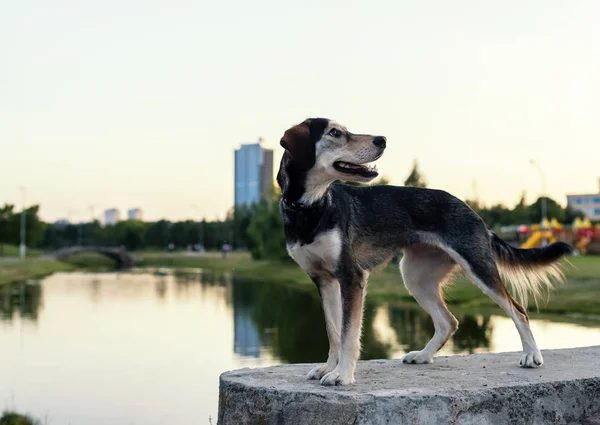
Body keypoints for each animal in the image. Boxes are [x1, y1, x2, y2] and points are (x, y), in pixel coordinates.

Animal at [276, 117, 572, 386]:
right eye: (335, 132)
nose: (382, 140)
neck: (311, 208)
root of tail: (473, 212)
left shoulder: (351, 277)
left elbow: (349, 333)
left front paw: (342, 375)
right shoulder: (324, 280)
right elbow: (334, 331)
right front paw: (329, 368)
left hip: (478, 268)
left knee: (518, 311)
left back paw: (532, 356)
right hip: (416, 277)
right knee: (448, 322)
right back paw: (423, 356)